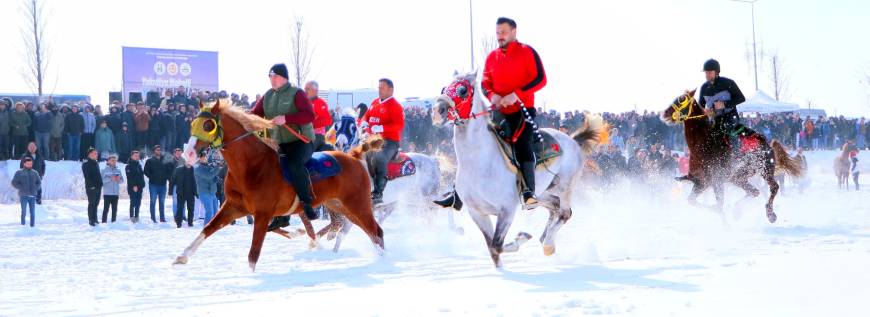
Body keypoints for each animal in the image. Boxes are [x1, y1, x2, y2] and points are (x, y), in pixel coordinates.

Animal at [172, 99, 384, 270]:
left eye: (208, 125)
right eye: (193, 124)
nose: (188, 154)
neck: (252, 165)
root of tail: (354, 155)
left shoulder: (262, 214)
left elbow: (254, 252)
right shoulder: (233, 207)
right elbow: (208, 228)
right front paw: (182, 256)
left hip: (358, 205)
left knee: (375, 231)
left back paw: (383, 260)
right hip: (339, 205)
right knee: (352, 228)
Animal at [430, 71, 608, 266]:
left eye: (463, 90)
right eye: (444, 88)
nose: (437, 111)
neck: (478, 163)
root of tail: (573, 140)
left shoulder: (506, 210)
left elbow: (497, 245)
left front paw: (521, 238)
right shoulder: (477, 213)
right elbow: (492, 249)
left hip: (566, 185)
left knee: (565, 212)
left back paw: (548, 244)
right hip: (542, 191)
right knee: (554, 205)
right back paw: (545, 238)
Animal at [668, 89, 804, 222]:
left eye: (681, 100)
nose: (666, 114)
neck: (703, 144)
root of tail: (767, 144)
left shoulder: (715, 181)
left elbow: (718, 204)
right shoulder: (702, 182)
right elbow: (693, 201)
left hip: (764, 170)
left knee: (773, 187)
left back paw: (770, 214)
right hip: (738, 177)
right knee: (755, 191)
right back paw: (737, 211)